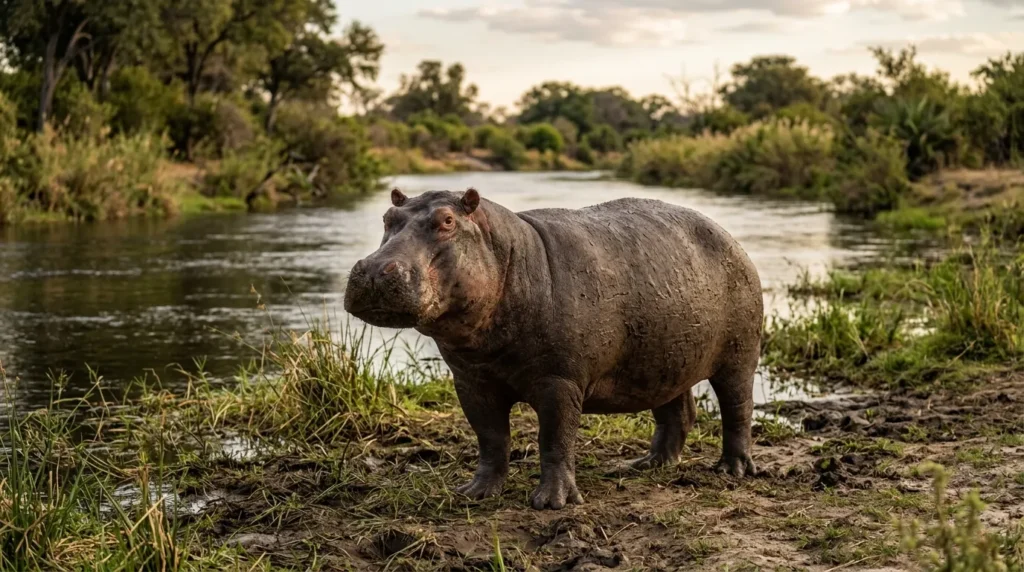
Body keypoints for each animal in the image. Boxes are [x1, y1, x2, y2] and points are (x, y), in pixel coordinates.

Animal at [344, 188, 763, 510]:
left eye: (447, 221)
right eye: (387, 217)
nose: (373, 269)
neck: (507, 254)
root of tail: (727, 235)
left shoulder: (559, 382)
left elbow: (555, 438)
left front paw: (551, 503)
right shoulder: (471, 381)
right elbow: (491, 439)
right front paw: (474, 493)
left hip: (739, 356)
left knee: (738, 409)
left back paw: (733, 469)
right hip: (663, 360)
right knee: (677, 412)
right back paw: (647, 464)